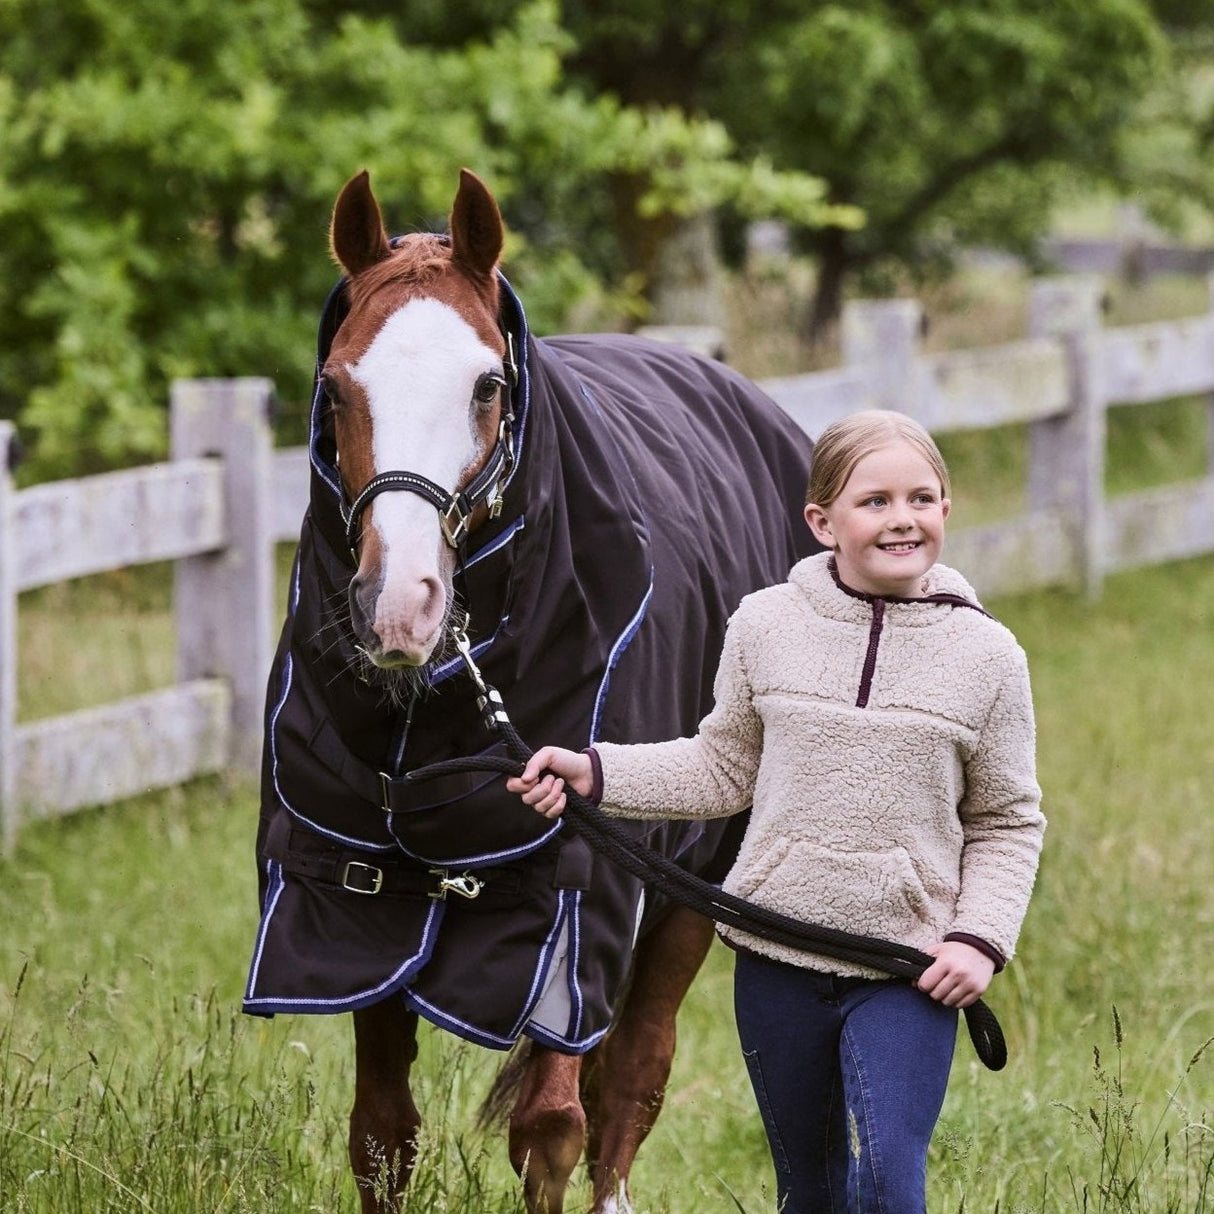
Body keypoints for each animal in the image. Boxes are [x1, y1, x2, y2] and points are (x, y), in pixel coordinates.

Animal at [241, 173, 820, 1214]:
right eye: (334, 388)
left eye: (488, 386)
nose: (400, 608)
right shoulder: (356, 912)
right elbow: (380, 1135)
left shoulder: (571, 914)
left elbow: (551, 1130)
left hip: (694, 886)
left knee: (633, 1077)